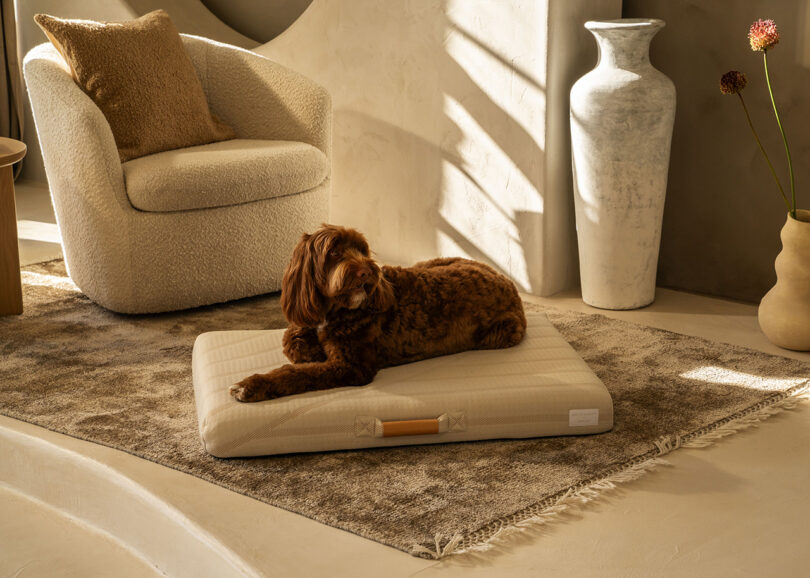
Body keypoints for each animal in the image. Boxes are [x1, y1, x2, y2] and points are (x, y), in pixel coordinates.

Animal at [230, 223, 528, 402]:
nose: (367, 271)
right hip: (432, 261)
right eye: (334, 251)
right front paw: (309, 347)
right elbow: (292, 338)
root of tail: (507, 279)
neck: (337, 310)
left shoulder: (349, 366)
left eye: (362, 249)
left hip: (501, 333)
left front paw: (251, 385)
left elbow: (296, 373)